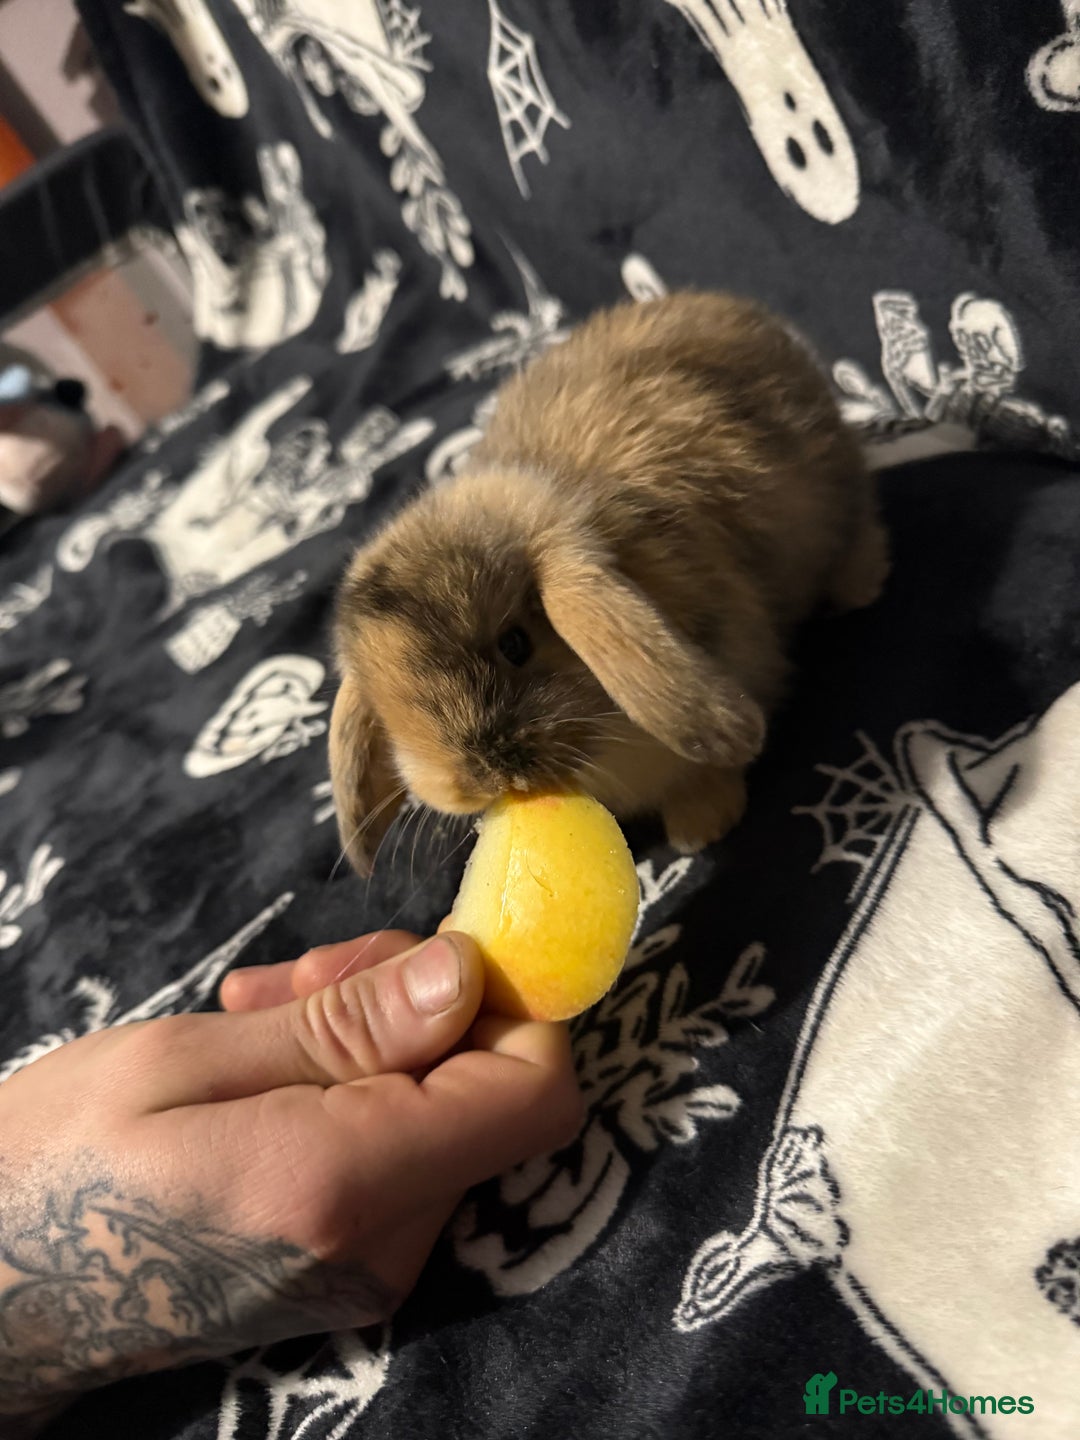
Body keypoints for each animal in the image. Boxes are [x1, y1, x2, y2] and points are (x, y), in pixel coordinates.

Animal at [329, 291, 889, 875]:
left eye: (515, 644)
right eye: (389, 708)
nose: (485, 774)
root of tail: (739, 310)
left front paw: (699, 827)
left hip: (832, 482)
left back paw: (860, 584)